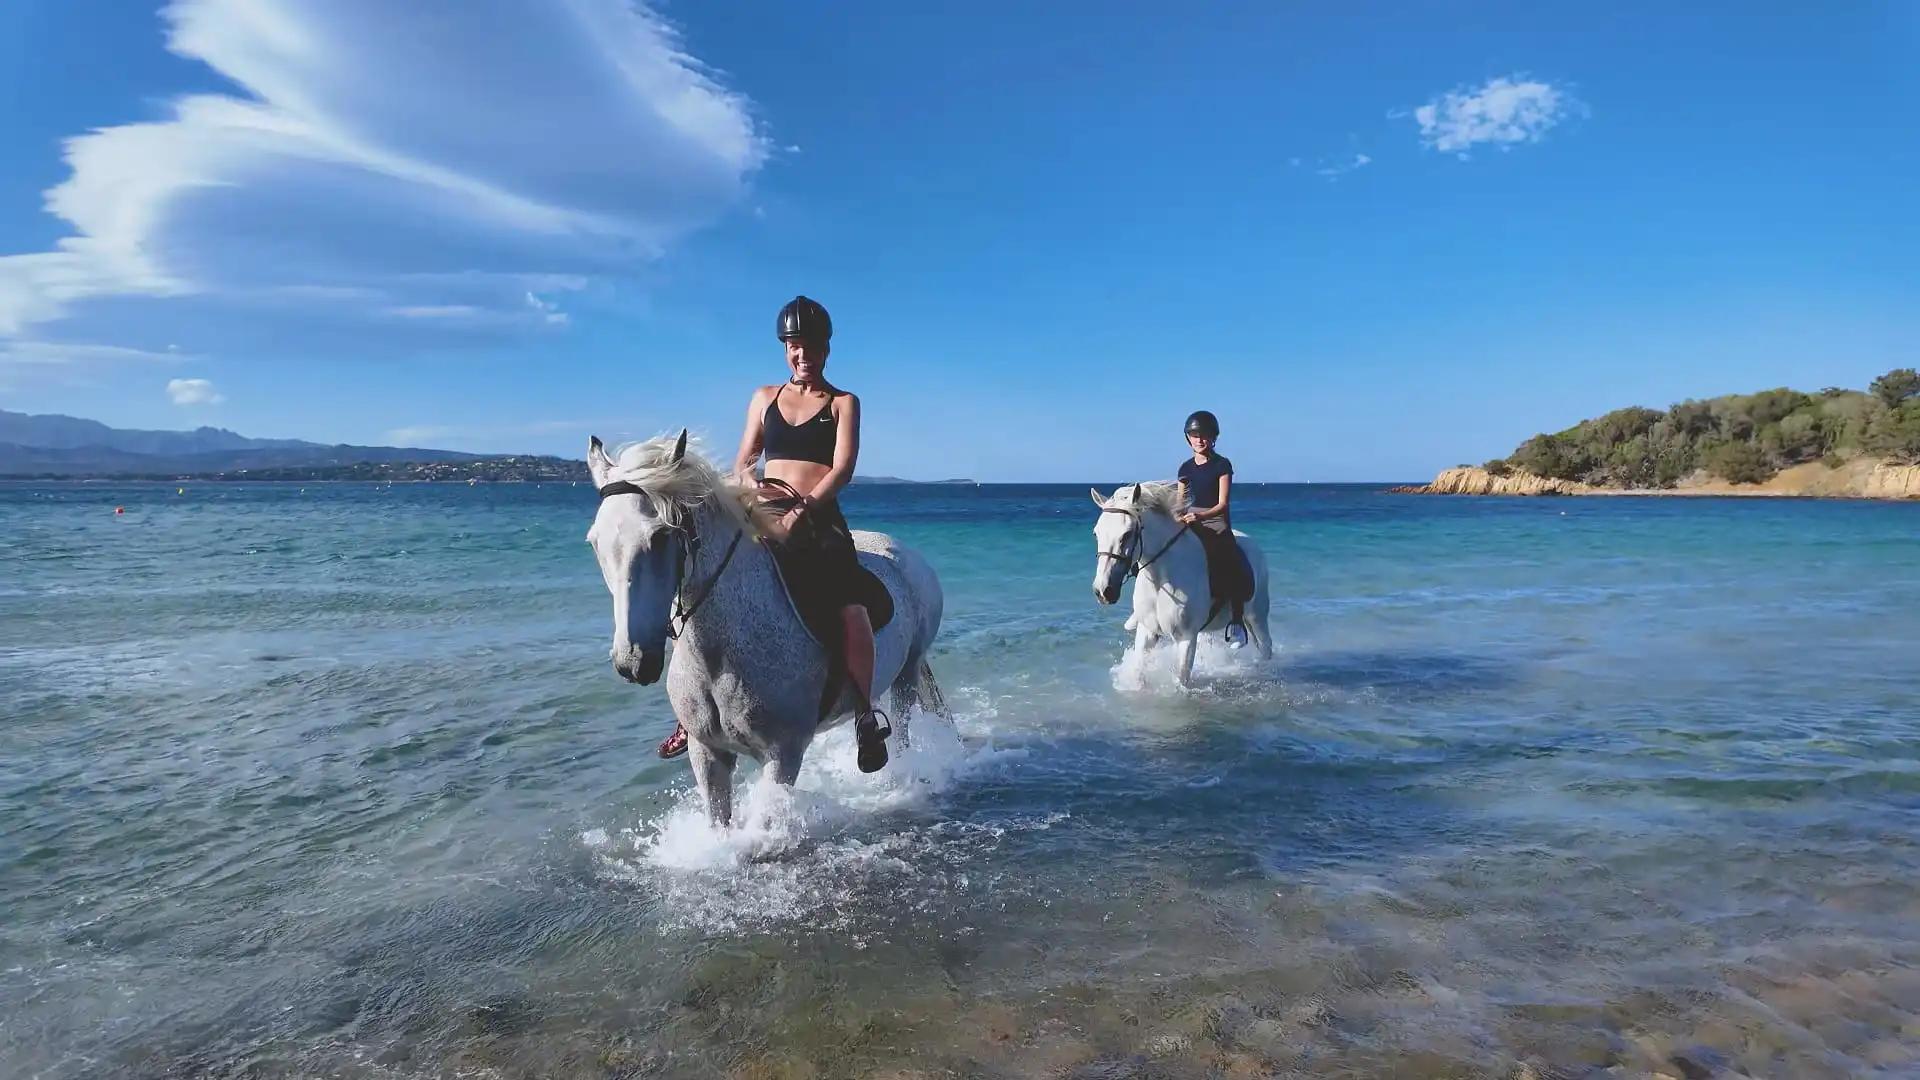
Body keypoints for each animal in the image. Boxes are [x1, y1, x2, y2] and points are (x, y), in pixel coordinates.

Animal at [586, 431, 950, 827]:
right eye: (595, 542)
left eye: (661, 536)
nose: (634, 662)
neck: (718, 656)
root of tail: (908, 555)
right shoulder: (706, 753)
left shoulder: (782, 756)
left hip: (907, 673)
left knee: (902, 731)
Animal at [1089, 481, 1273, 685]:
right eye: (1096, 533)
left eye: (1127, 534)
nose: (1103, 591)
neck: (1161, 579)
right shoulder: (1147, 631)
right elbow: (1138, 673)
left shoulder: (1186, 637)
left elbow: (1180, 681)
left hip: (1257, 616)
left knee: (1265, 647)